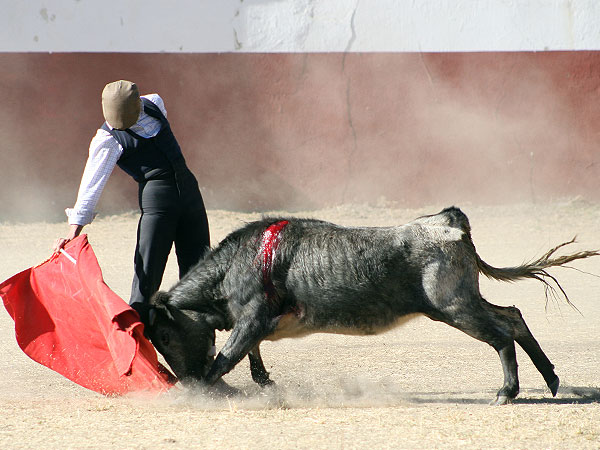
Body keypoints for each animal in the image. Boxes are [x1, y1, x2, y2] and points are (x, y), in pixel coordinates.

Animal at [144, 209, 596, 406]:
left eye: (163, 333)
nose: (184, 380)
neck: (234, 265)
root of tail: (448, 222)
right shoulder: (255, 324)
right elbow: (251, 358)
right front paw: (264, 383)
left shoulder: (251, 318)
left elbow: (226, 358)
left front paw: (200, 392)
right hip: (467, 299)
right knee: (513, 317)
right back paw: (551, 379)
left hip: (452, 306)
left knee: (501, 335)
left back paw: (507, 392)